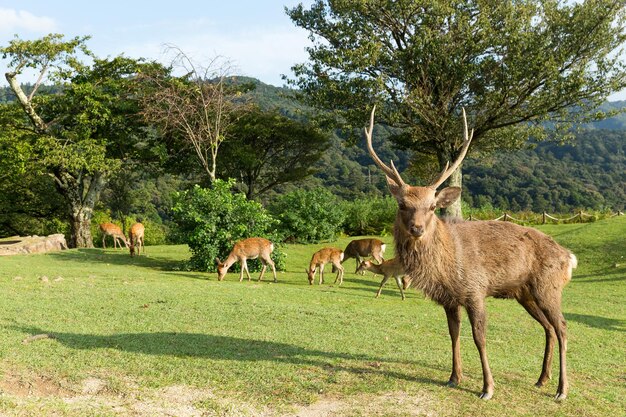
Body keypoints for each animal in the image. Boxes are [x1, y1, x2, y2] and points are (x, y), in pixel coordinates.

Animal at [366, 106, 576, 400]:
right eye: (402, 204)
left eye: (432, 207)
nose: (417, 228)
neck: (445, 268)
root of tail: (569, 258)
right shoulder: (448, 298)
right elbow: (453, 333)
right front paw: (454, 377)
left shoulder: (475, 290)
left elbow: (479, 337)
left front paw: (487, 388)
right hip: (525, 293)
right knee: (548, 327)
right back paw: (541, 380)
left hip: (549, 286)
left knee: (562, 327)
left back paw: (561, 390)